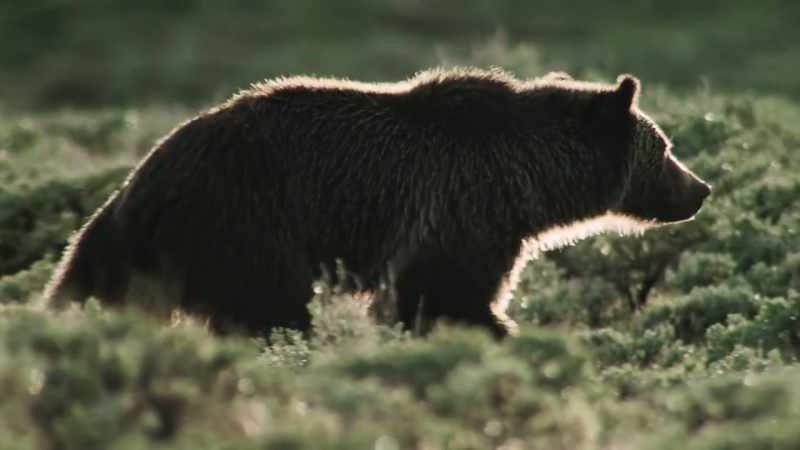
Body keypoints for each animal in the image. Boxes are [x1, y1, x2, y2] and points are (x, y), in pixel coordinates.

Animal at [44, 68, 711, 337]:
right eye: (666, 148)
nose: (700, 189)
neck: (527, 184)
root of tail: (143, 177)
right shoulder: (460, 212)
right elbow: (445, 296)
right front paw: (500, 330)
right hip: (248, 222)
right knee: (272, 308)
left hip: (149, 243)